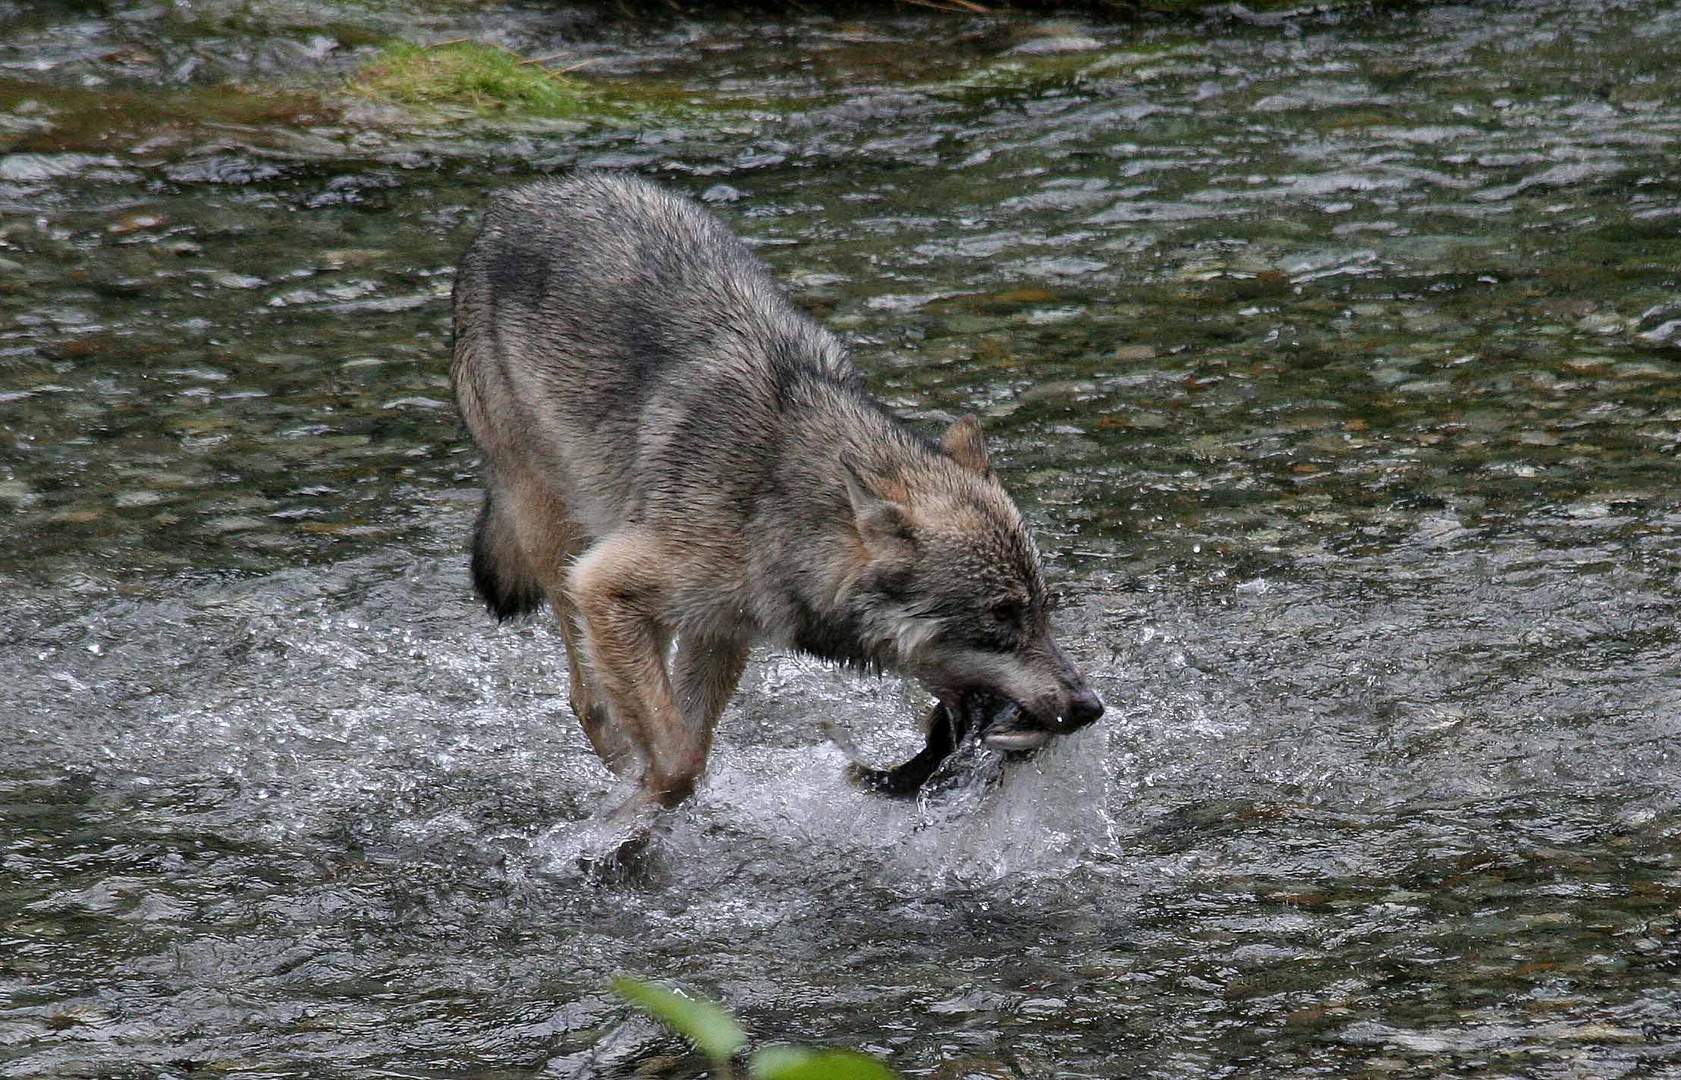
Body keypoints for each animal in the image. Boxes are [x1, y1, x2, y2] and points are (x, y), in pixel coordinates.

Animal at [450, 169, 1102, 807]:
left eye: (1044, 609)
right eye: (1002, 616)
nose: (1090, 707)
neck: (773, 501)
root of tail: (513, 200)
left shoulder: (720, 628)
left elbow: (691, 745)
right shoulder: (605, 583)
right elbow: (678, 760)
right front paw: (641, 800)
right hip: (558, 540)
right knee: (585, 695)